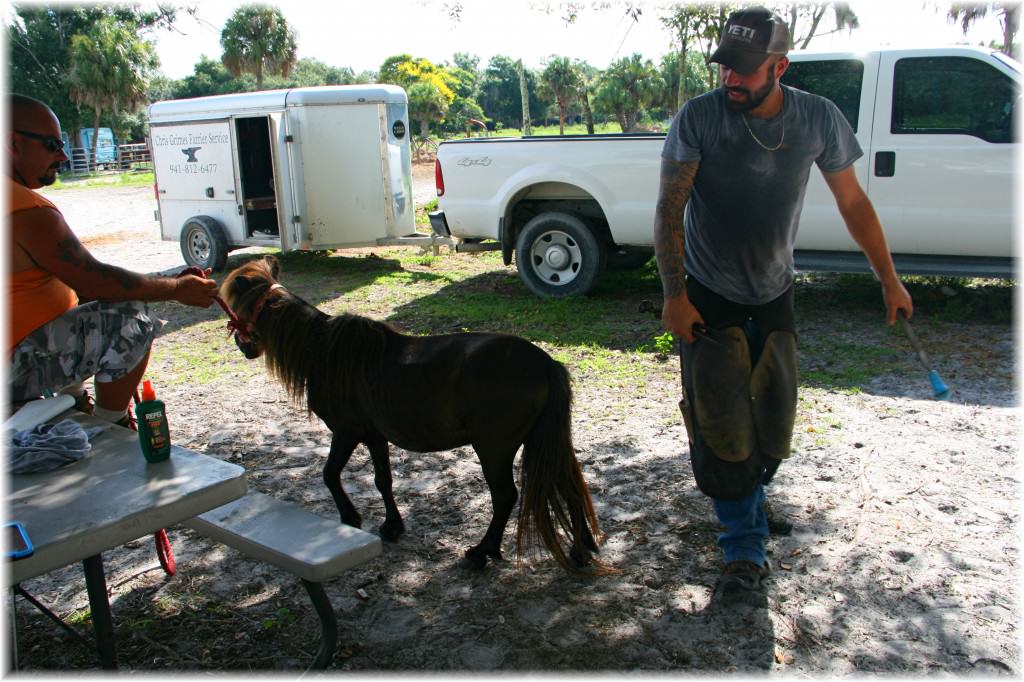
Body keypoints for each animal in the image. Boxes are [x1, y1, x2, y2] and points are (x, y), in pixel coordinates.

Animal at [222, 254, 606, 573]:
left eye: (235, 307)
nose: (243, 346)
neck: (323, 351)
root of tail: (545, 363)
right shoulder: (373, 436)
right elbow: (383, 480)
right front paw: (392, 526)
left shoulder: (346, 432)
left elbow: (330, 474)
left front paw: (350, 516)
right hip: (541, 440)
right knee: (568, 486)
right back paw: (579, 549)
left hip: (495, 448)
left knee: (505, 497)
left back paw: (481, 552)